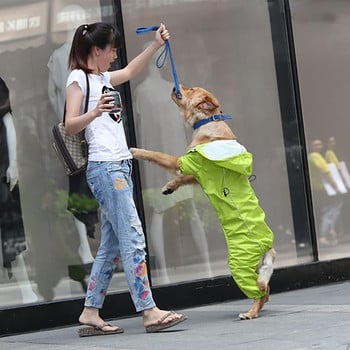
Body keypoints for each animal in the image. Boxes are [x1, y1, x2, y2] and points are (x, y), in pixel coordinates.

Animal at [130, 85, 274, 320]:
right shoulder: (193, 172)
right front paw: (169, 187)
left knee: (259, 292)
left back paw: (250, 313)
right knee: (266, 289)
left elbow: (157, 154)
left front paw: (135, 150)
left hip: (240, 264)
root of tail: (269, 248)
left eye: (190, 89)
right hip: (256, 268)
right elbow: (180, 179)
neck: (208, 122)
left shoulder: (182, 162)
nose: (175, 86)